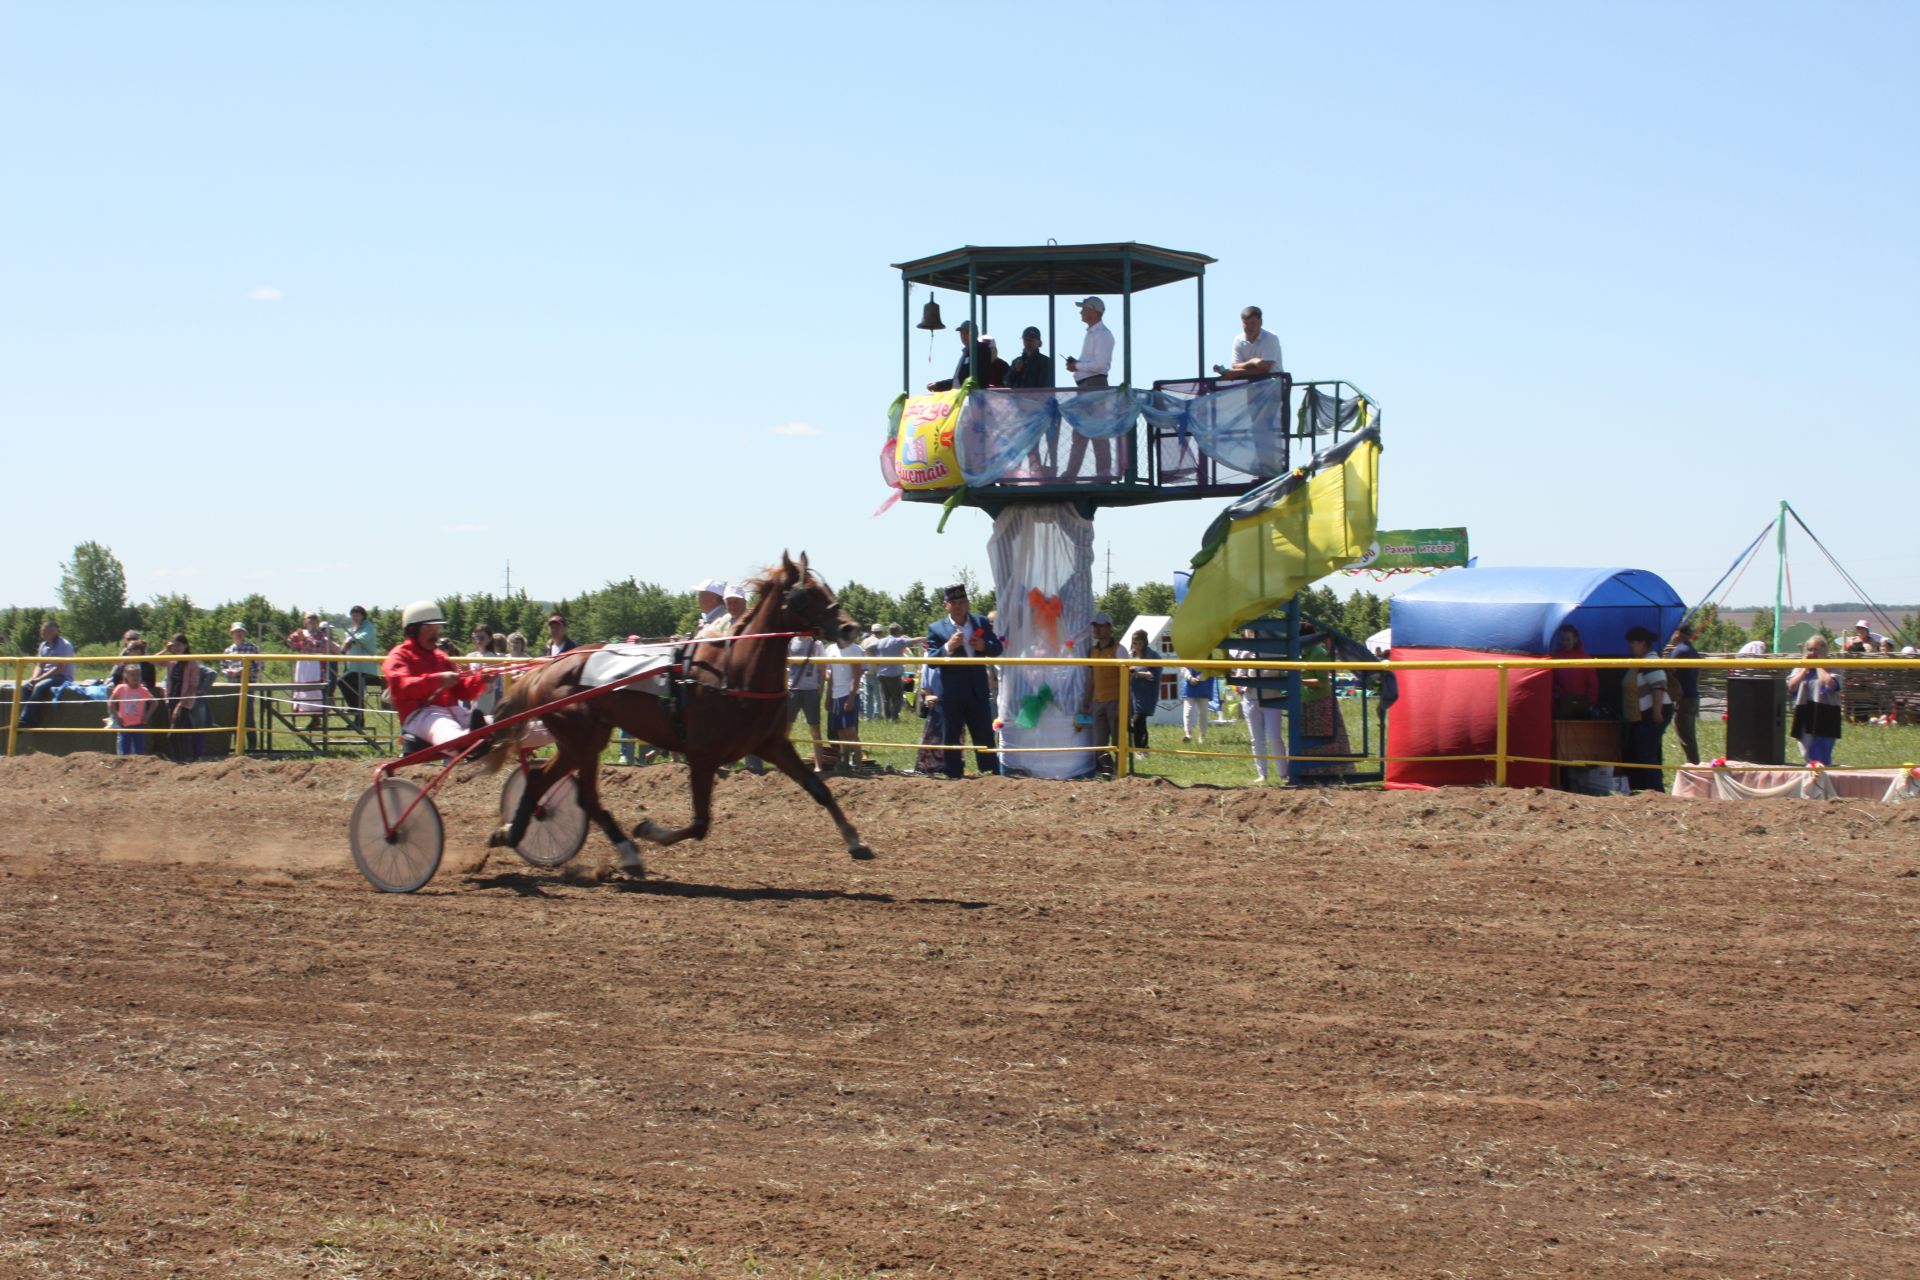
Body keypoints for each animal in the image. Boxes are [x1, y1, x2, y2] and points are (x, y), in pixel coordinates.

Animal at [480, 556, 871, 875]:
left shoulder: (771, 745)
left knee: (570, 792)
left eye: (825, 587)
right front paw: (650, 830)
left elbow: (819, 789)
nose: (849, 628)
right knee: (552, 785)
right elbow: (700, 823)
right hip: (580, 740)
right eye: (807, 593)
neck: (732, 674)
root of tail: (549, 667)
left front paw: (855, 841)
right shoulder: (702, 755)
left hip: (588, 740)